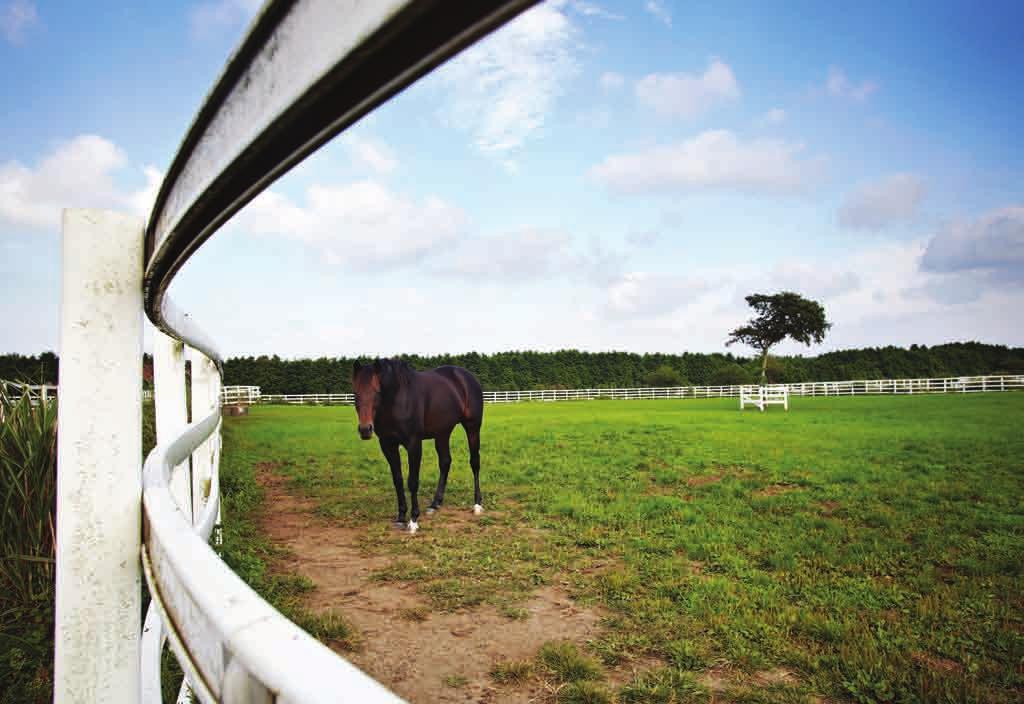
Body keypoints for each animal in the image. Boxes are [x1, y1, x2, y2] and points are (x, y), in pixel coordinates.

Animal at [350, 358, 481, 532]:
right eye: (355, 394)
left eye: (377, 392)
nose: (365, 429)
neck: (398, 399)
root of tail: (466, 376)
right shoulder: (388, 445)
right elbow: (398, 480)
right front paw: (400, 517)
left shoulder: (413, 443)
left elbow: (412, 481)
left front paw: (413, 520)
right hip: (443, 432)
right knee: (445, 462)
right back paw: (435, 504)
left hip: (472, 427)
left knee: (474, 463)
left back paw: (477, 504)